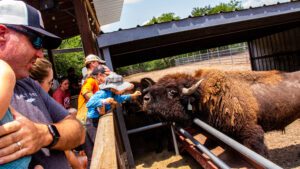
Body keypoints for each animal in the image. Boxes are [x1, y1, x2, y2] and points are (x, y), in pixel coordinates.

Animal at [142, 68, 300, 156]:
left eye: (172, 92)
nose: (145, 98)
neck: (204, 96)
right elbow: (208, 144)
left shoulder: (252, 132)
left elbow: (260, 152)